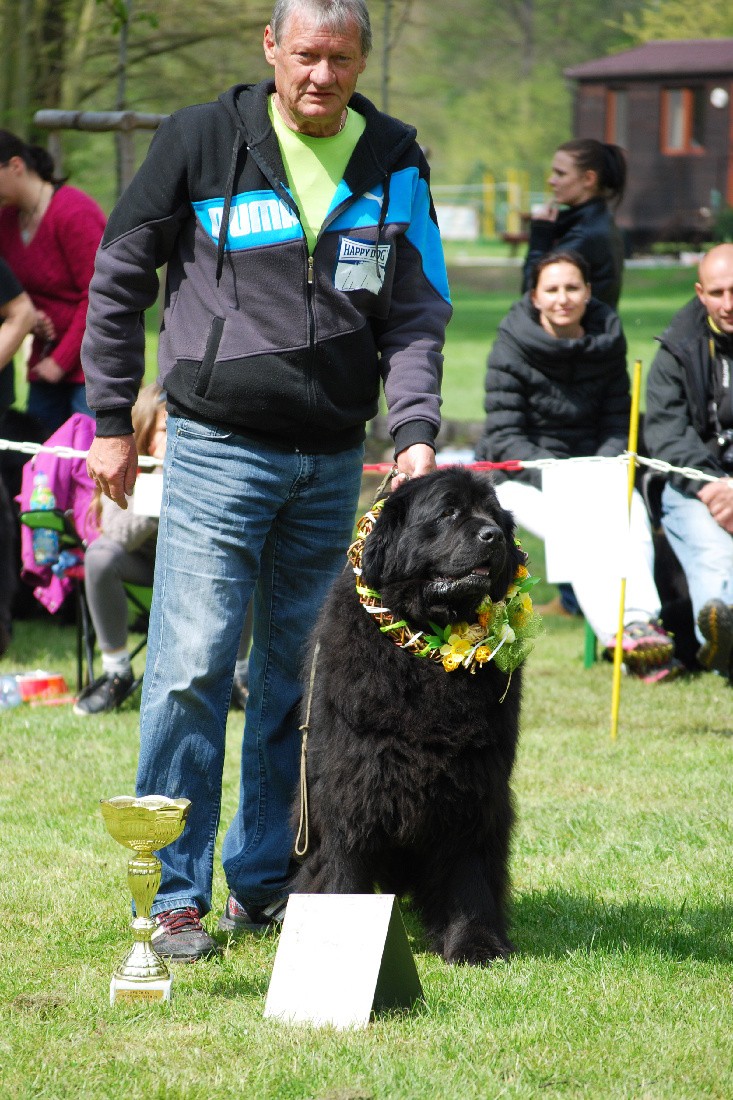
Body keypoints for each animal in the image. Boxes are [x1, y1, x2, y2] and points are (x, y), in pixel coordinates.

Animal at [292, 466, 536, 965]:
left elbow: (469, 874)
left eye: (494, 514)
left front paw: (476, 944)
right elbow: (343, 862)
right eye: (448, 513)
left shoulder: (473, 784)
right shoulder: (351, 779)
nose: (494, 536)